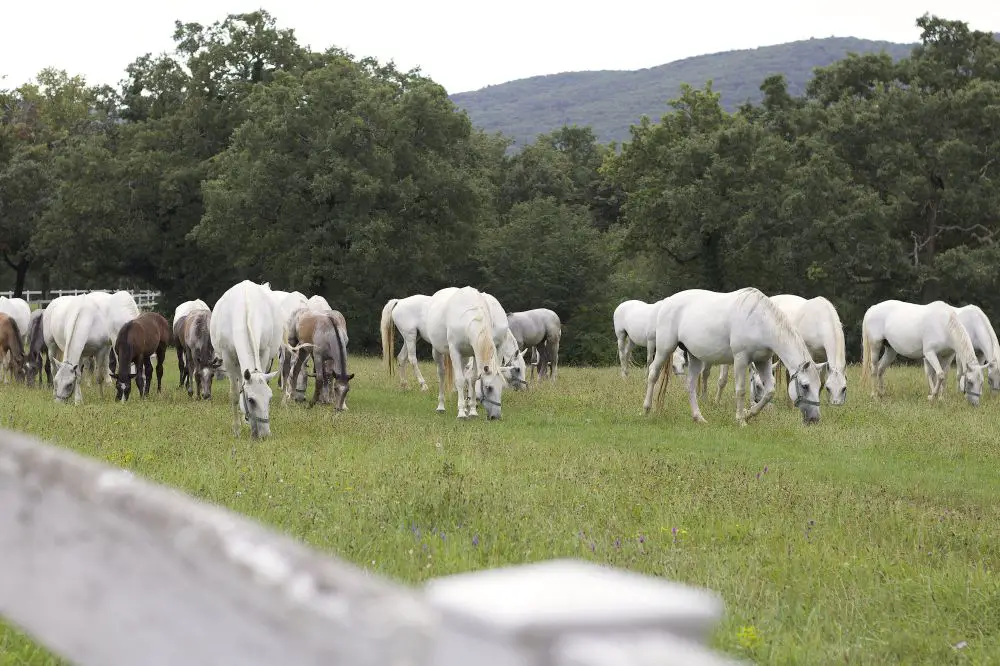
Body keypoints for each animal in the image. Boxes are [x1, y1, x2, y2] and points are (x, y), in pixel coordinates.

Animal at [210, 278, 282, 438]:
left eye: (269, 398)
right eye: (251, 400)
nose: (265, 435)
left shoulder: (264, 353)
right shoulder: (228, 359)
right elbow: (235, 395)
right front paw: (236, 430)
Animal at [426, 284, 508, 418]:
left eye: (502, 387)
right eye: (488, 388)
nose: (496, 416)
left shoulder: (474, 352)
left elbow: (472, 379)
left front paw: (472, 411)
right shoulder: (454, 350)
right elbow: (459, 380)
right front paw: (461, 413)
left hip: (464, 356)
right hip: (437, 351)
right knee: (442, 373)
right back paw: (441, 406)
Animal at [644, 286, 824, 422]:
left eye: (819, 387)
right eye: (805, 386)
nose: (814, 419)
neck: (760, 321)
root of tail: (668, 302)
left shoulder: (763, 361)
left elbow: (769, 391)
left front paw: (748, 414)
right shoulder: (740, 359)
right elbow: (741, 390)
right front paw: (740, 419)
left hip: (695, 357)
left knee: (690, 385)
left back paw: (698, 417)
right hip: (664, 348)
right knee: (653, 374)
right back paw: (646, 409)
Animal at [716, 294, 848, 404]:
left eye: (844, 388)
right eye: (829, 388)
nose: (836, 404)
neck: (820, 320)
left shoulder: (824, 359)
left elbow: (819, 381)